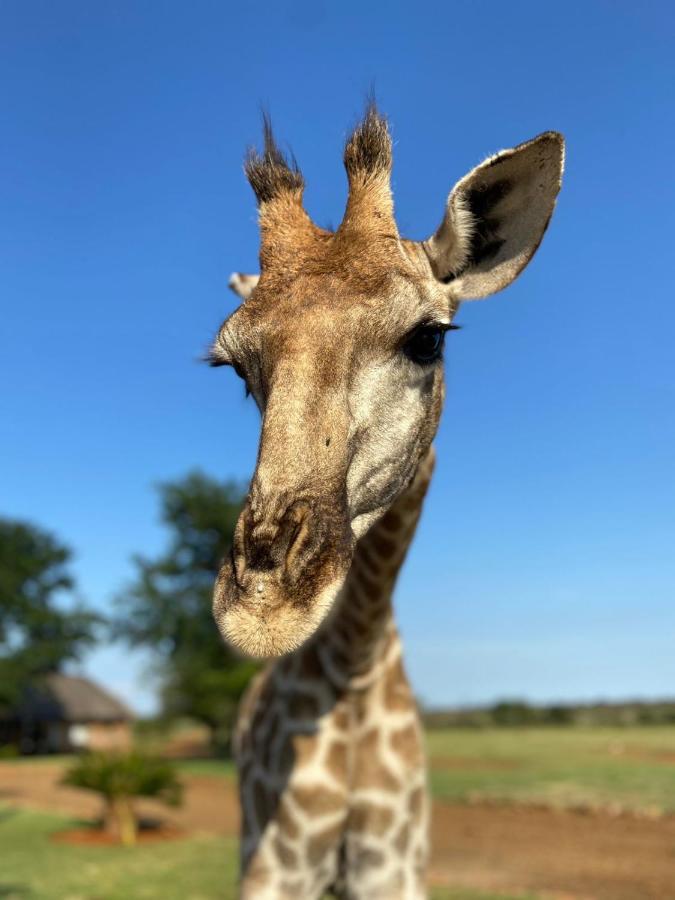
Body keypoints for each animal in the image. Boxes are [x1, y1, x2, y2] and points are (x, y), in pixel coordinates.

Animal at [211, 102, 564, 896]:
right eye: (235, 370)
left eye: (428, 338)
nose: (265, 610)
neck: (356, 657)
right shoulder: (276, 867)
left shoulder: (394, 866)